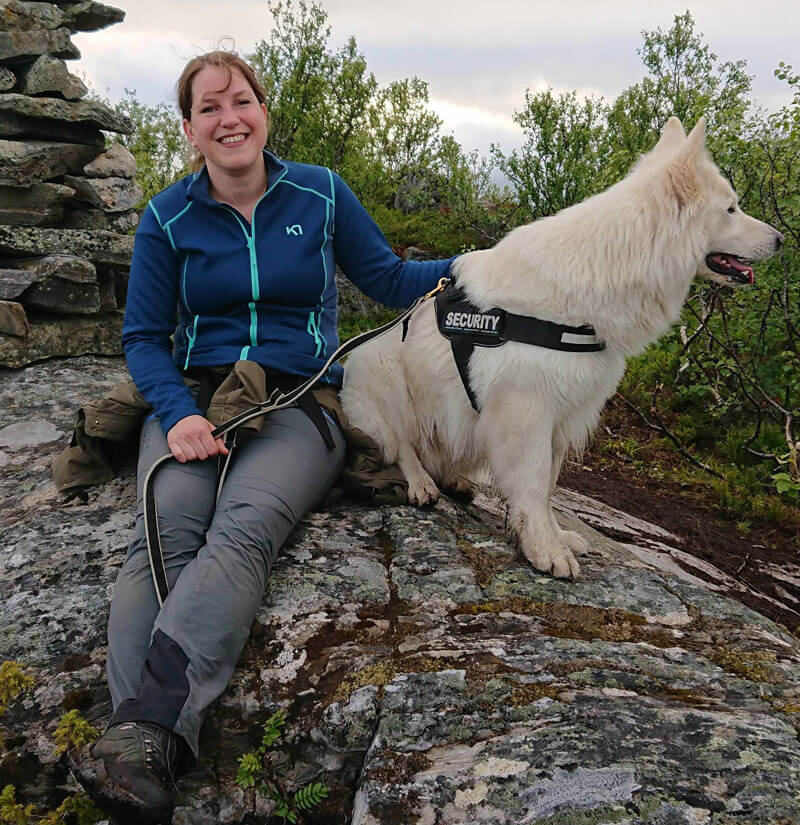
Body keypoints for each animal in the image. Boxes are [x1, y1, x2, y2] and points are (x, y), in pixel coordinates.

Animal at [340, 117, 784, 580]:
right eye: (731, 209)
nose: (781, 240)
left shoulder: (561, 416)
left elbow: (549, 486)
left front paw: (554, 537)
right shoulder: (526, 413)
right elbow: (535, 485)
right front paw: (543, 549)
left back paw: (454, 480)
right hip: (381, 373)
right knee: (402, 447)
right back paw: (421, 483)